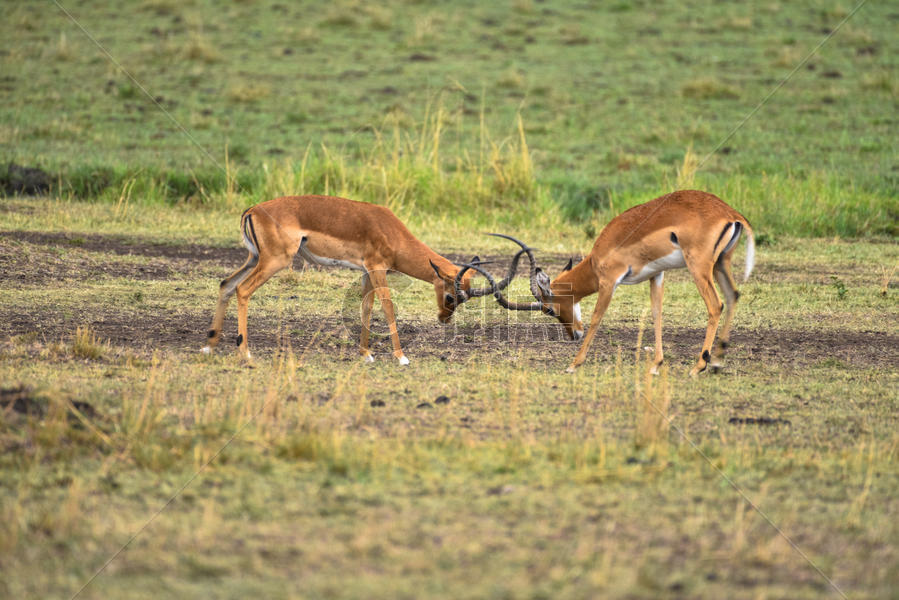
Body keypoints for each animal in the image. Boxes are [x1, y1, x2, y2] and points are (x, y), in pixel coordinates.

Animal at [202, 197, 492, 364]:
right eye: (451, 295)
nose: (444, 319)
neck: (391, 232)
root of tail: (252, 210)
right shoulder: (377, 268)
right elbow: (388, 307)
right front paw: (401, 357)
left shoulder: (366, 271)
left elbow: (366, 308)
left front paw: (366, 354)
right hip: (275, 260)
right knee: (242, 289)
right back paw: (244, 352)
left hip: (254, 258)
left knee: (226, 284)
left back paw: (209, 346)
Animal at [468, 188, 756, 376]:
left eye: (548, 309)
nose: (574, 335)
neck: (599, 255)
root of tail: (732, 214)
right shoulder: (656, 275)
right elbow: (657, 314)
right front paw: (656, 365)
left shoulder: (609, 281)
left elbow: (597, 317)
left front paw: (573, 364)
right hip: (721, 264)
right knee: (733, 296)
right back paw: (717, 362)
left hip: (699, 267)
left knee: (715, 305)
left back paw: (699, 366)